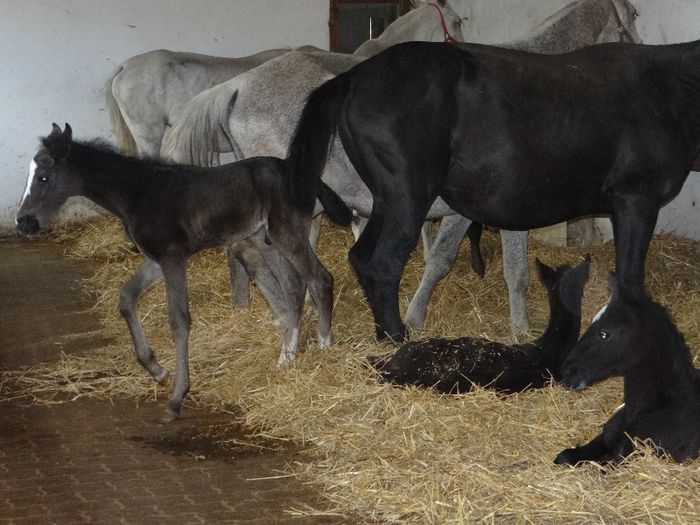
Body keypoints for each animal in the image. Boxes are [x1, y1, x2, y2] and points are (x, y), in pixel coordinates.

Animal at [17, 124, 350, 422]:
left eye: (44, 177)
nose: (23, 223)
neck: (139, 193)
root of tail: (303, 176)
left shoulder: (173, 257)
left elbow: (179, 321)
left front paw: (176, 398)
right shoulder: (157, 259)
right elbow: (127, 297)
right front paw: (157, 370)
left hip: (286, 234)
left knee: (319, 279)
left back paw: (323, 347)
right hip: (264, 240)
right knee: (293, 286)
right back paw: (286, 358)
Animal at [284, 40, 696, 340]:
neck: (667, 90)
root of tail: (353, 77)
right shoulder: (637, 200)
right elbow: (629, 275)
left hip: (389, 201)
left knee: (361, 258)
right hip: (407, 199)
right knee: (381, 264)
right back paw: (396, 336)